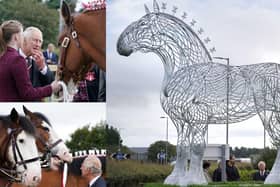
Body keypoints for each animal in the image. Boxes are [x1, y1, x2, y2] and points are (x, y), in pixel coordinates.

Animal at [117, 0, 280, 184]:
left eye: (143, 24)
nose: (120, 46)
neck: (186, 72)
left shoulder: (198, 118)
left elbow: (196, 149)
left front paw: (193, 179)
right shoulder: (181, 121)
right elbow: (182, 149)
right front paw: (175, 179)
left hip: (271, 115)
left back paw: (272, 179)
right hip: (271, 114)